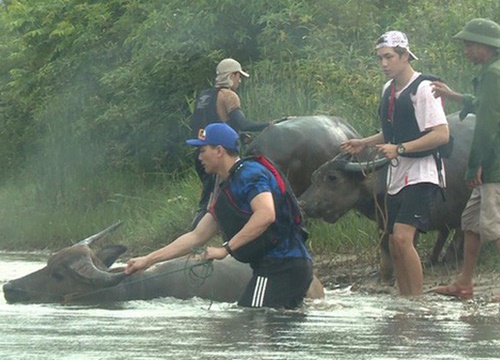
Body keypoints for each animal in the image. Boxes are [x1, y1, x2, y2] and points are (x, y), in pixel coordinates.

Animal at [298, 112, 474, 282]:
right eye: (314, 177)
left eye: (332, 177)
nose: (302, 204)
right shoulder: (383, 223)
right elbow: (385, 250)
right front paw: (385, 275)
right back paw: (435, 259)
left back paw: (451, 257)